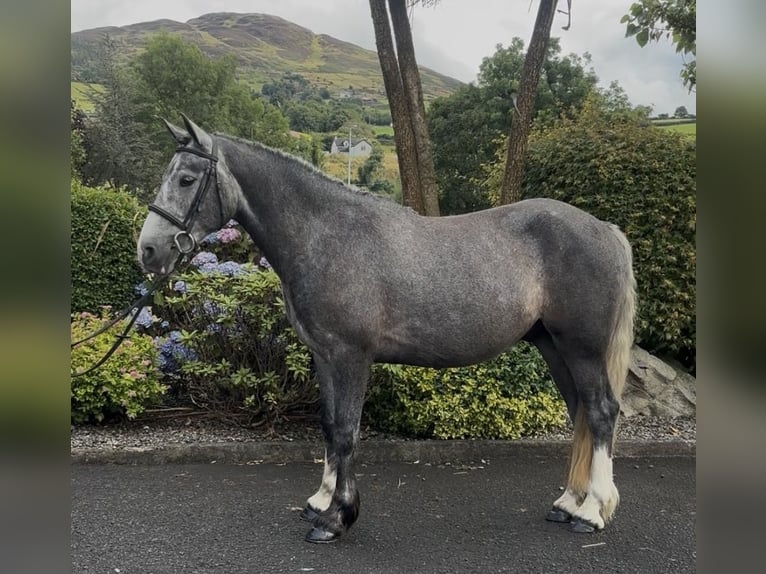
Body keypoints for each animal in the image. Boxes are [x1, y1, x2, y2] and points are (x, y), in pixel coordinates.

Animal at [137, 114, 636, 544]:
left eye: (186, 179)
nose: (148, 250)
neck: (327, 235)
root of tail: (606, 230)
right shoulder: (324, 354)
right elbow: (328, 424)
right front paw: (321, 501)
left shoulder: (351, 356)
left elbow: (346, 430)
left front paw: (338, 517)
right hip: (554, 347)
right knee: (580, 413)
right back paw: (568, 503)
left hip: (582, 349)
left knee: (600, 412)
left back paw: (592, 512)